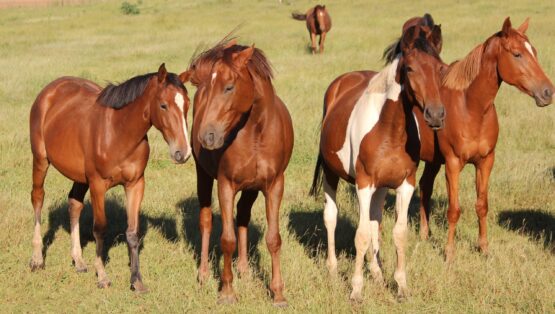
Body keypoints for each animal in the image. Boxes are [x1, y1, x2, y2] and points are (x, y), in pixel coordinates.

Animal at [29, 63, 193, 292]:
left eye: (187, 104)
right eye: (163, 105)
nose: (182, 153)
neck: (118, 132)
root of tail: (49, 91)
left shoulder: (135, 184)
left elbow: (132, 232)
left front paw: (136, 280)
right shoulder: (98, 185)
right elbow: (100, 229)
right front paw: (102, 276)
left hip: (80, 177)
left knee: (74, 204)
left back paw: (79, 261)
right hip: (41, 160)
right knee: (38, 198)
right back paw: (37, 259)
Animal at [189, 39, 296, 306]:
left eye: (229, 87)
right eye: (210, 88)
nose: (207, 136)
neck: (255, 132)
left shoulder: (274, 186)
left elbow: (273, 239)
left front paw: (278, 293)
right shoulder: (225, 185)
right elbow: (227, 240)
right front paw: (227, 292)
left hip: (251, 190)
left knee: (243, 217)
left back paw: (245, 270)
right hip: (203, 177)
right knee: (206, 220)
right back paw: (203, 273)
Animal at [310, 23, 446, 300]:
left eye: (441, 68)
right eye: (410, 68)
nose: (436, 115)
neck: (389, 129)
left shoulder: (405, 184)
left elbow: (398, 233)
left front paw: (401, 286)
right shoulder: (363, 184)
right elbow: (361, 235)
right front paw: (356, 290)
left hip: (382, 187)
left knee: (375, 222)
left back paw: (377, 274)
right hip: (331, 173)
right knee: (331, 217)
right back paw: (333, 270)